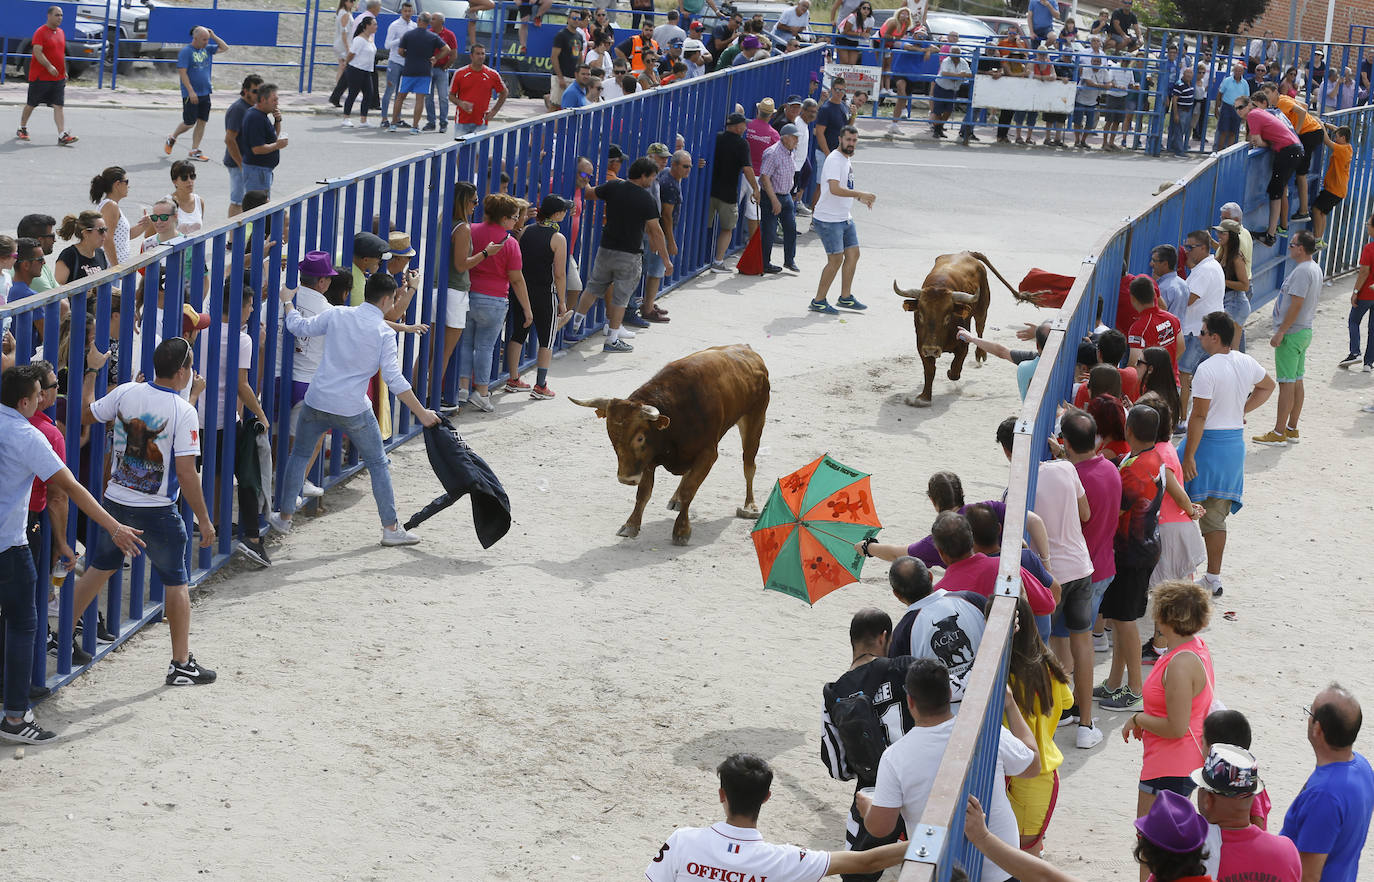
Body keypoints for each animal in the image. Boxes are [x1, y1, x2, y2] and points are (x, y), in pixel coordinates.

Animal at [568, 342, 774, 544]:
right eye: (611, 436)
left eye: (640, 438)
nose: (626, 479)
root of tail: (748, 351)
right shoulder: (649, 459)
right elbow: (643, 494)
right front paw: (631, 525)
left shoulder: (708, 454)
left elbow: (690, 490)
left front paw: (681, 530)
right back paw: (676, 499)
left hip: (755, 420)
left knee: (749, 465)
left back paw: (749, 506)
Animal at [890, 247, 1038, 406]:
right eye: (921, 315)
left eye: (947, 317)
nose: (932, 350)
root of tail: (966, 253)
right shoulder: (921, 346)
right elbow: (930, 371)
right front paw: (924, 398)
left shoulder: (963, 345)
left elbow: (955, 371)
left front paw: (949, 372)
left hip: (982, 309)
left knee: (980, 328)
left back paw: (980, 354)